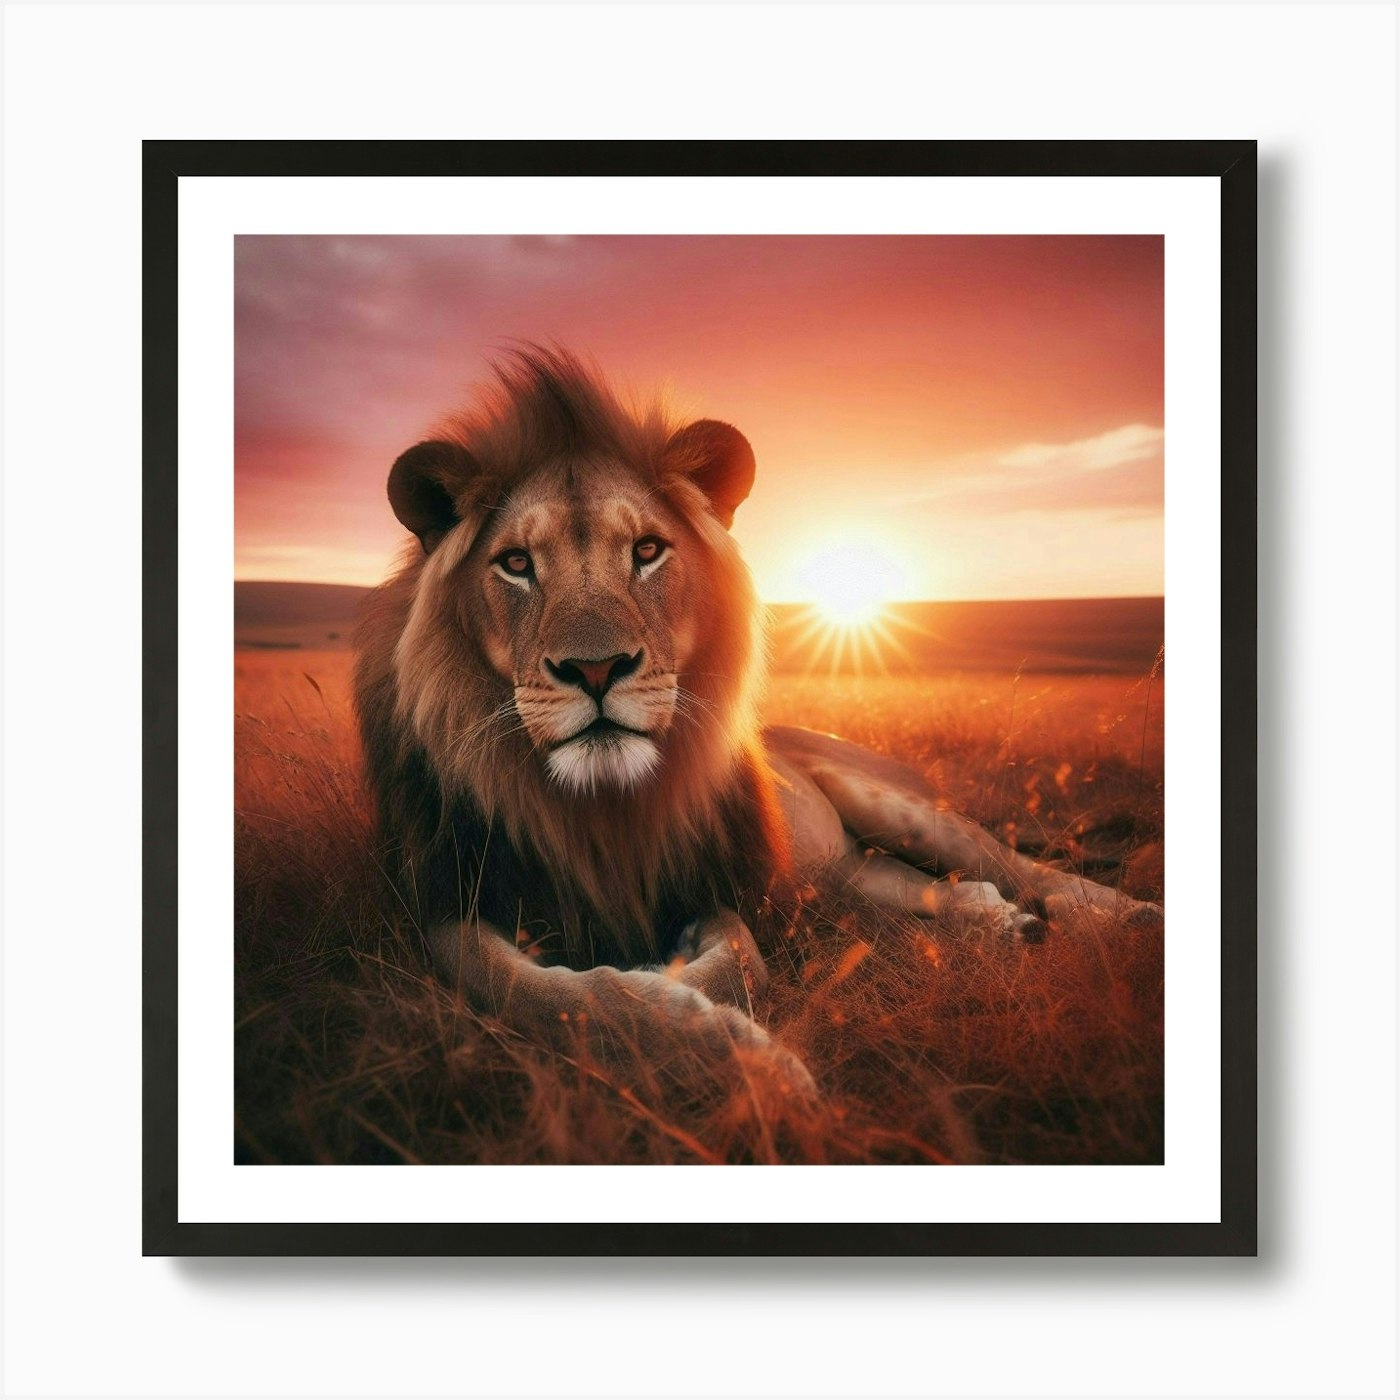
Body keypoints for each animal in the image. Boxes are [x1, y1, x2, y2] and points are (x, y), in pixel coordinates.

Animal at [354, 348, 1161, 1093]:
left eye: (648, 550)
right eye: (516, 563)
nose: (596, 669)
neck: (602, 813)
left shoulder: (716, 884)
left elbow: (739, 967)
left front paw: (734, 1041)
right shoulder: (447, 903)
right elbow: (534, 994)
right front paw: (700, 1029)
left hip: (907, 812)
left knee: (1026, 869)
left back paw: (1125, 919)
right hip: (846, 876)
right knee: (941, 891)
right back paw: (1001, 925)